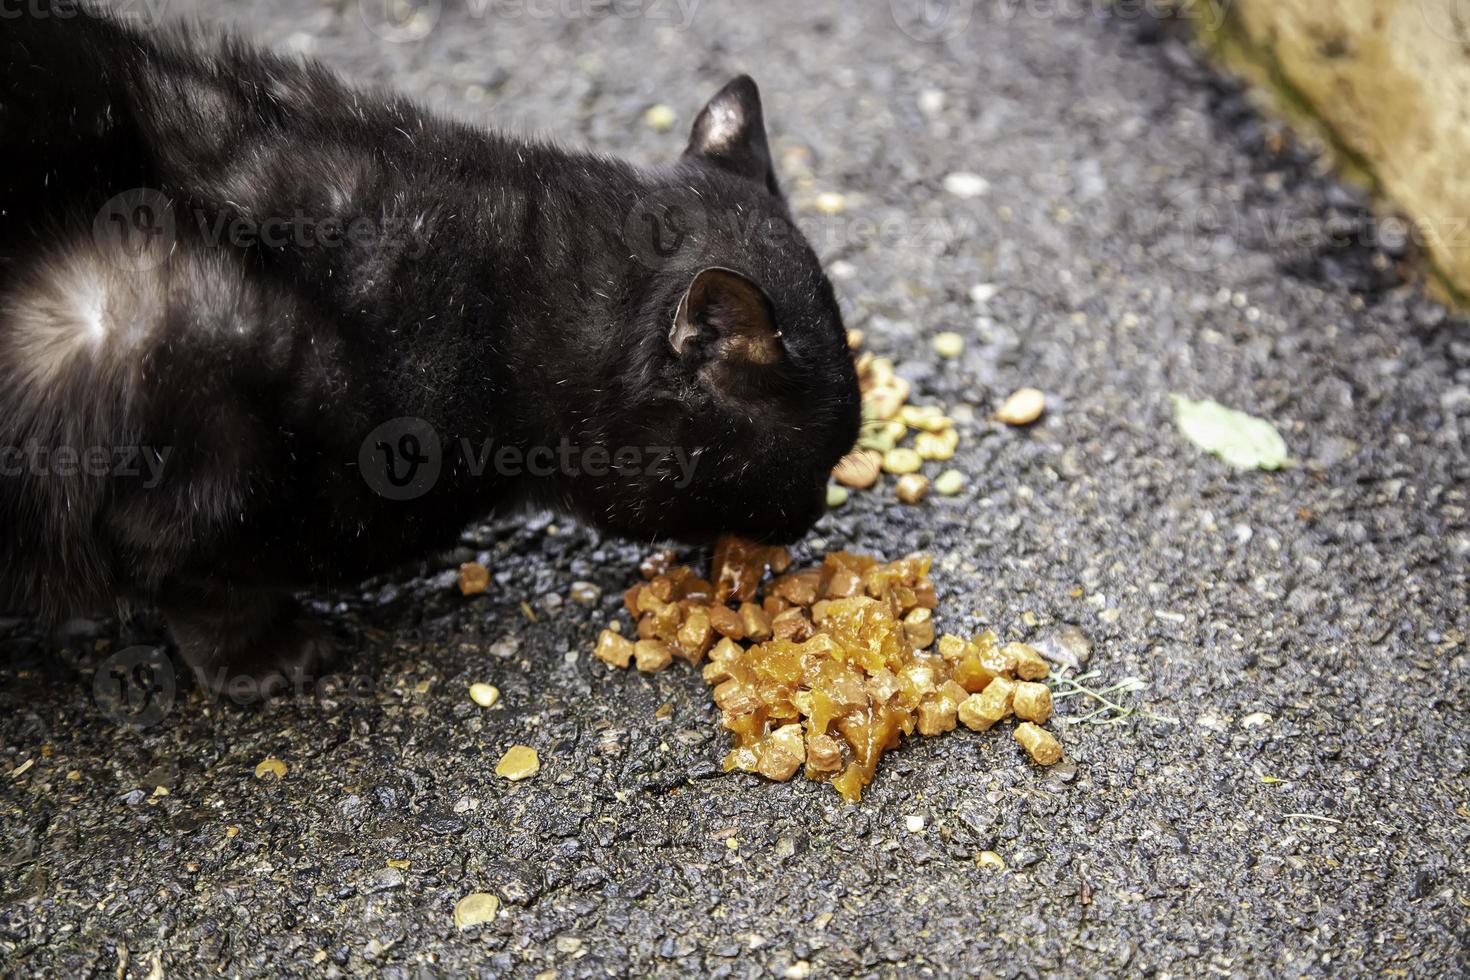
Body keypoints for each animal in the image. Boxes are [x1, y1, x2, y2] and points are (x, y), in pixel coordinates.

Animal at [0, 0, 858, 693]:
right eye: (823, 457)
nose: (817, 514)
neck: (487, 306)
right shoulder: (187, 397)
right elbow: (200, 582)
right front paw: (261, 658)